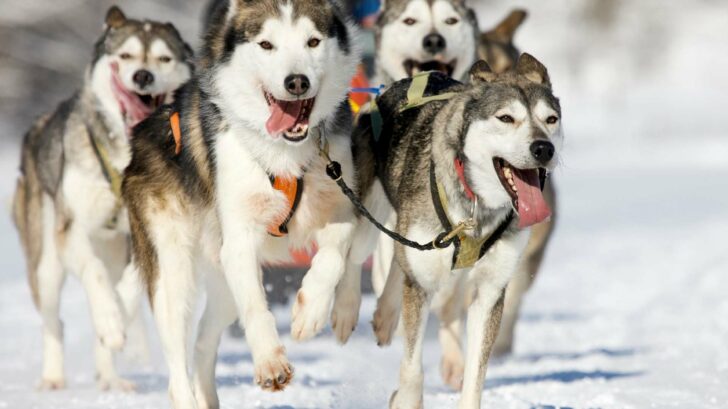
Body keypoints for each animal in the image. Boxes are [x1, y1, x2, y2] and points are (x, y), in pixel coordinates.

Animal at [12, 5, 193, 388]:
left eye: (164, 58)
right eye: (124, 56)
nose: (143, 76)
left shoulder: (143, 233)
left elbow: (129, 286)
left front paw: (119, 316)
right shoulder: (72, 231)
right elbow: (94, 274)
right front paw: (111, 320)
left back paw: (111, 378)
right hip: (46, 264)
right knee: (54, 320)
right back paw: (53, 377)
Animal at [123, 1, 360, 406]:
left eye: (313, 41)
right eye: (266, 44)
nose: (296, 82)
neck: (284, 153)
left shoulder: (340, 203)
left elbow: (333, 256)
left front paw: (310, 311)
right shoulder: (239, 240)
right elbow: (256, 307)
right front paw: (270, 361)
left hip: (221, 283)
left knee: (203, 343)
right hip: (174, 270)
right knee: (178, 360)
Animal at [350, 55, 560, 408]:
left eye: (551, 119)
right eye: (506, 118)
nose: (544, 148)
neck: (476, 208)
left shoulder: (489, 291)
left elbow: (476, 373)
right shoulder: (421, 283)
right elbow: (412, 366)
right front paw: (407, 398)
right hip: (367, 218)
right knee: (349, 258)